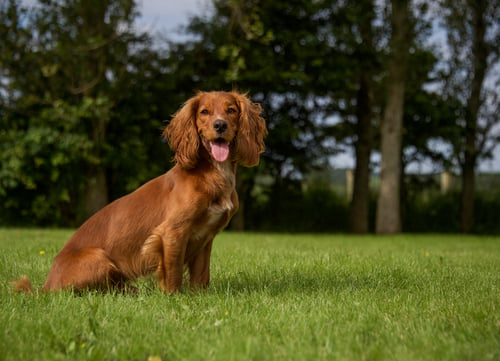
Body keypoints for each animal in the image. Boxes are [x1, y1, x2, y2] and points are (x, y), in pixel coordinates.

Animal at [13, 90, 268, 292]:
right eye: (204, 112)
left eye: (231, 110)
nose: (220, 125)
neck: (213, 172)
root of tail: (45, 287)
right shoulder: (172, 232)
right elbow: (173, 272)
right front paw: (175, 298)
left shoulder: (206, 237)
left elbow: (201, 275)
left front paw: (199, 298)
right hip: (99, 258)